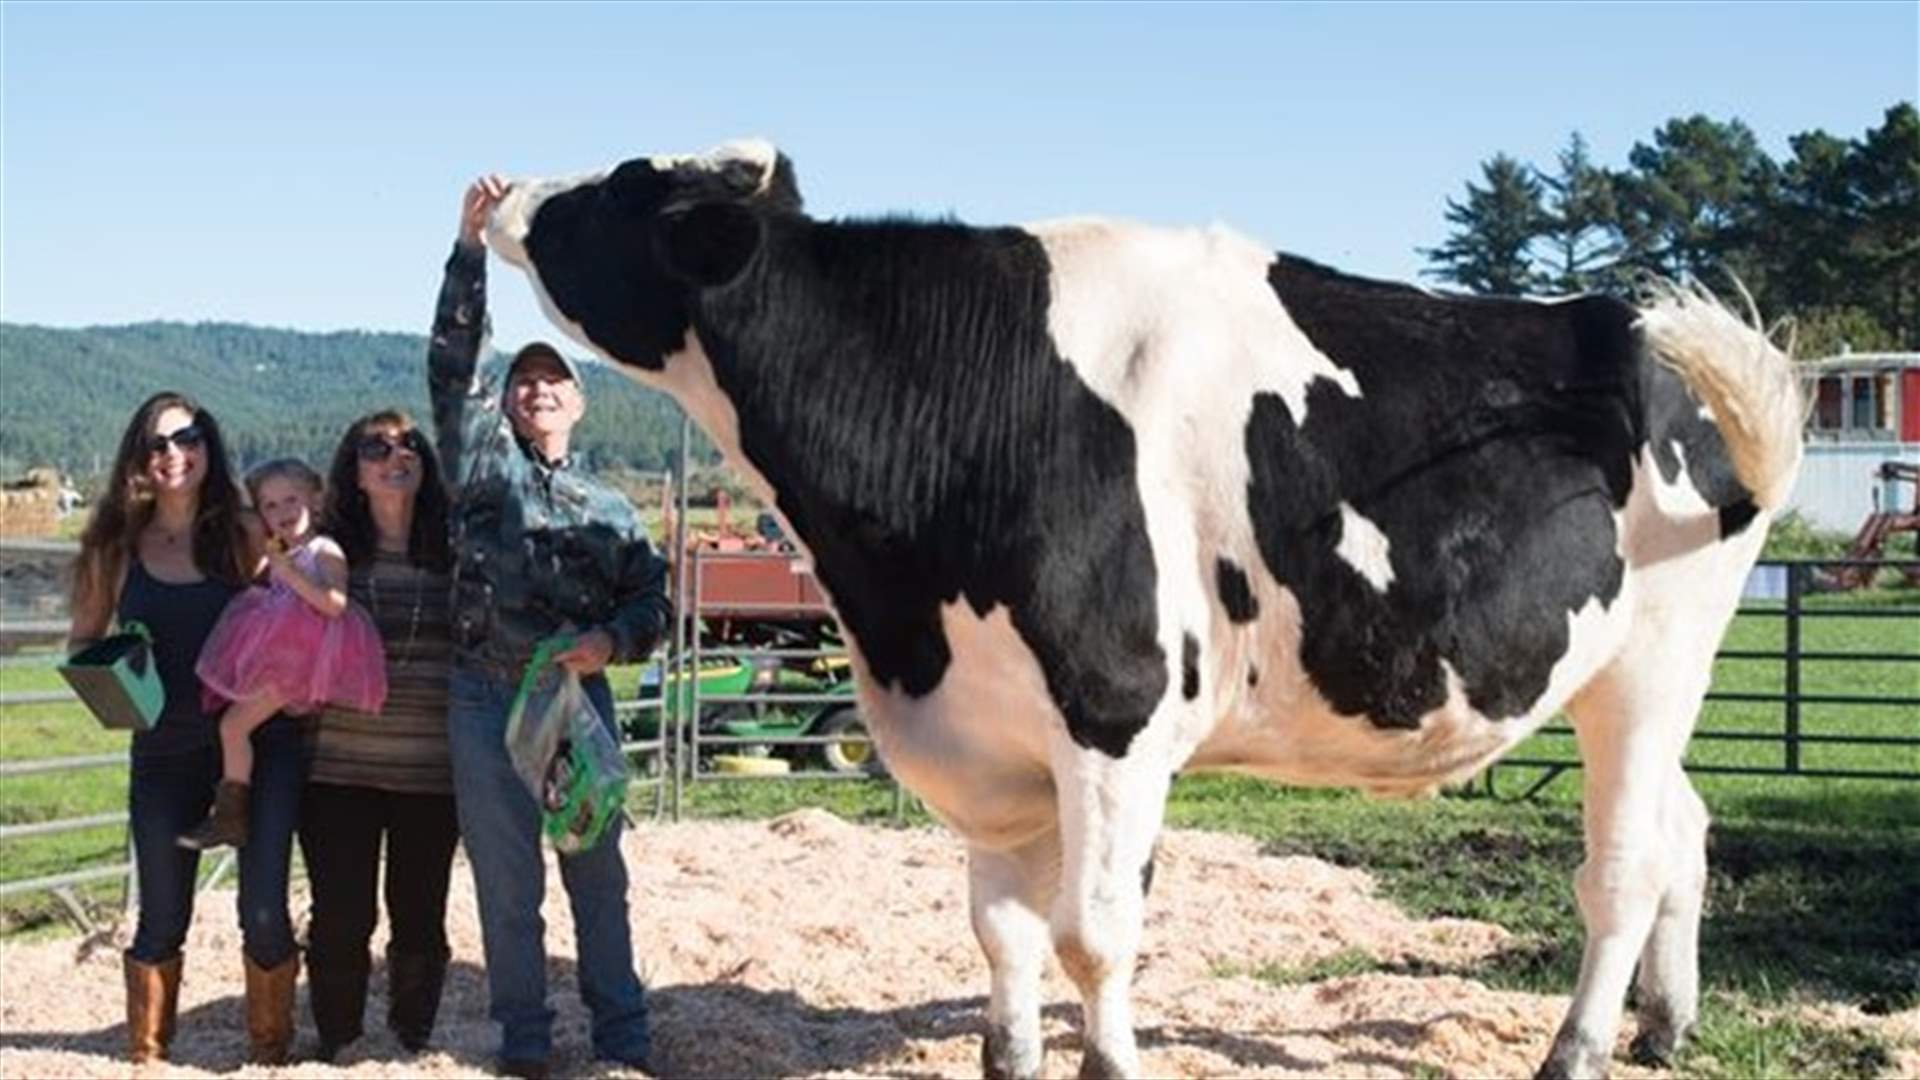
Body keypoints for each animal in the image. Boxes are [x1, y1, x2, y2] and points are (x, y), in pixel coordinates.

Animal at [482, 140, 1804, 1080]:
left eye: (617, 187)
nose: (496, 190)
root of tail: (1630, 327)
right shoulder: (990, 731)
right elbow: (1004, 930)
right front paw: (1010, 1058)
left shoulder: (1112, 713)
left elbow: (1093, 931)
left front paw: (1106, 1062)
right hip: (1617, 686)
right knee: (1686, 829)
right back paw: (1663, 1027)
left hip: (1653, 667)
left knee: (1624, 868)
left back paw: (1576, 1052)